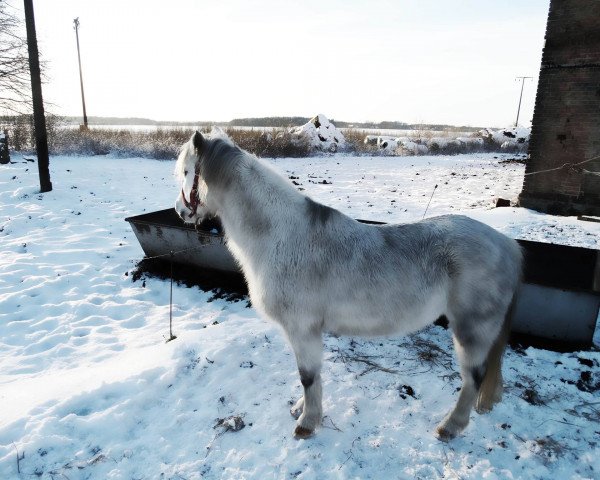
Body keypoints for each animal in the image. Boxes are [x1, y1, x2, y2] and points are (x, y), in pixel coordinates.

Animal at [173, 129, 520, 440]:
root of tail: (508, 245)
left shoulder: (303, 329)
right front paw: (301, 409)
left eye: (188, 172)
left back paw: (450, 427)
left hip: (471, 331)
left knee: (473, 378)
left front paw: (307, 423)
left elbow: (308, 377)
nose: (179, 211)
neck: (281, 236)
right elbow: (310, 377)